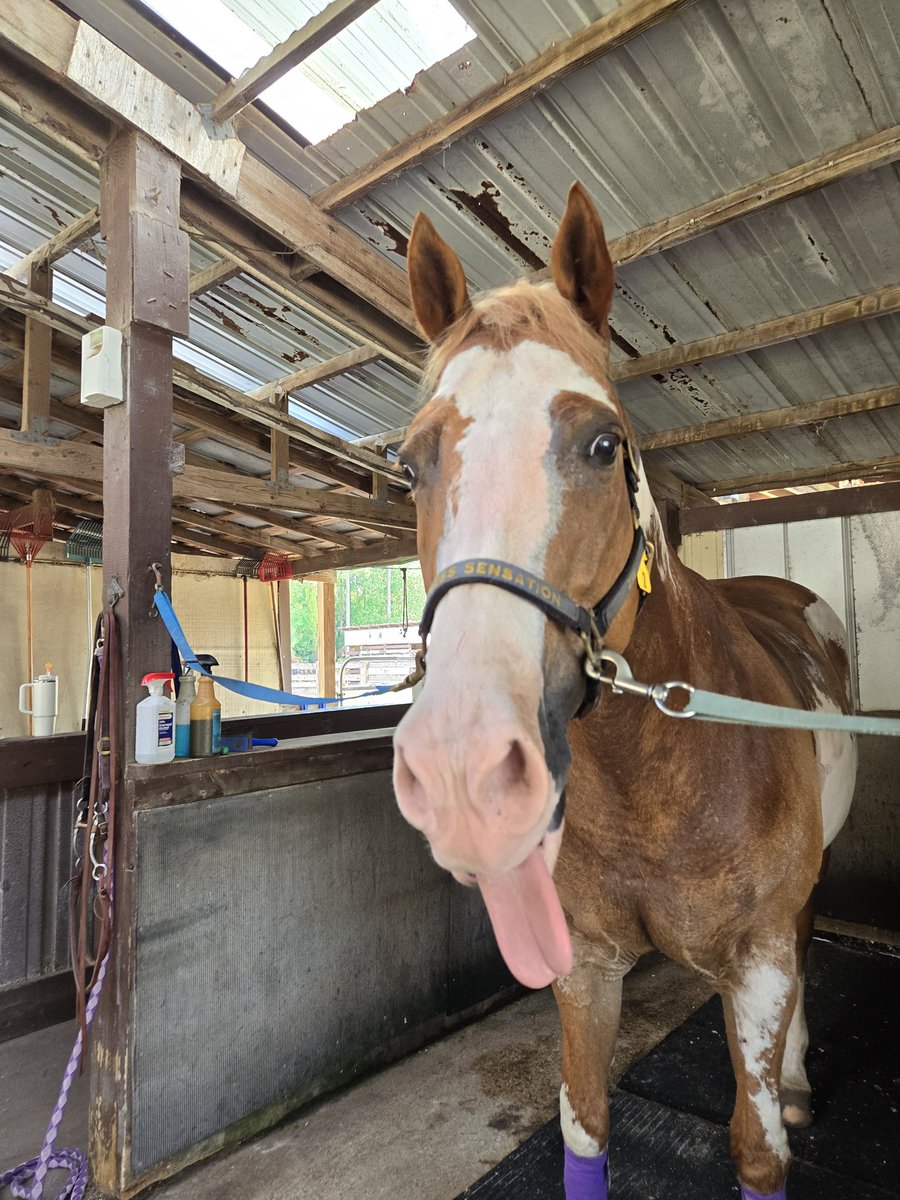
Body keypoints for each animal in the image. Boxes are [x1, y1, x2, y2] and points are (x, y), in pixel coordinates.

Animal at [391, 182, 857, 1200]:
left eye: (603, 444)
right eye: (410, 463)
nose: (460, 769)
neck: (659, 778)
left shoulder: (757, 963)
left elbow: (759, 1146)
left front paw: (784, 1100)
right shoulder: (587, 968)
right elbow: (586, 1124)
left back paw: (802, 1078)